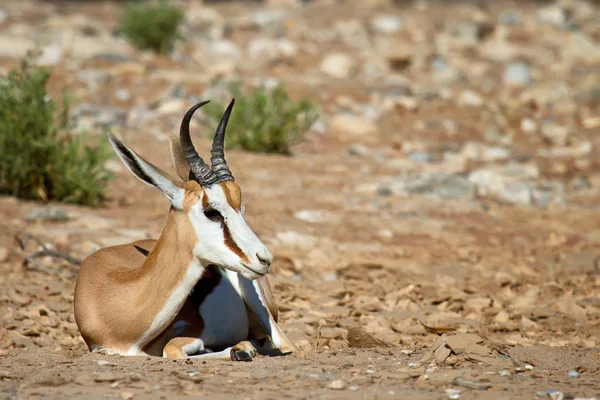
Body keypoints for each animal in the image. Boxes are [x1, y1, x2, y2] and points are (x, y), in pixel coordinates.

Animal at [74, 100, 296, 362]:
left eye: (241, 208)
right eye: (212, 211)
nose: (264, 258)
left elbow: (171, 350)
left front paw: (240, 349)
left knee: (285, 343)